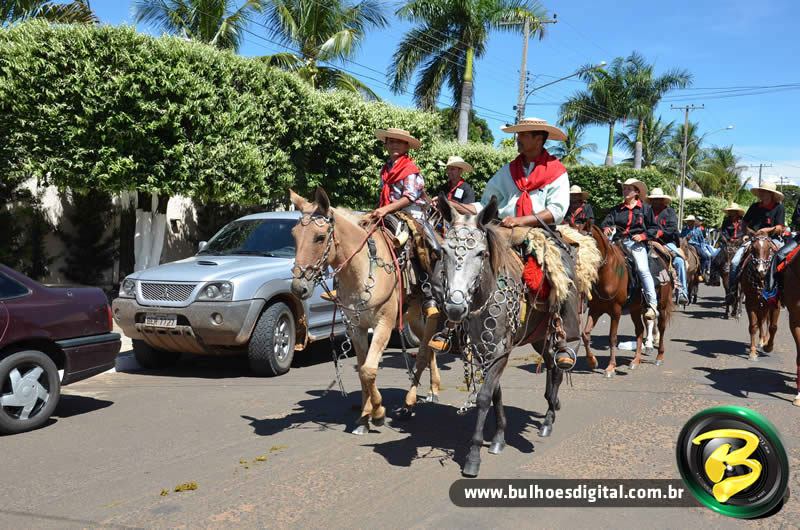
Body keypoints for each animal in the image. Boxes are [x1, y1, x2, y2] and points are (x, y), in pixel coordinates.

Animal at [289, 188, 441, 434]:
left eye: (319, 237)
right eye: (293, 235)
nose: (298, 287)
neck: (360, 270)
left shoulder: (384, 325)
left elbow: (369, 369)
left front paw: (378, 413)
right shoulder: (355, 327)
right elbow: (362, 369)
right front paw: (364, 417)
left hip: (434, 312)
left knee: (424, 352)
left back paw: (409, 403)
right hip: (414, 317)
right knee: (428, 348)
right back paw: (432, 389)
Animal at [436, 197, 574, 477]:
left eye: (481, 253)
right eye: (444, 251)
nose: (455, 308)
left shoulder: (501, 350)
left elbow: (484, 397)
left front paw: (473, 456)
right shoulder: (484, 349)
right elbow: (496, 394)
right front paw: (499, 438)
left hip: (554, 330)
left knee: (557, 365)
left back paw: (548, 420)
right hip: (538, 336)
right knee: (550, 364)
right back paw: (552, 405)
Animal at [582, 225, 674, 376]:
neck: (609, 272)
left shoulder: (616, 311)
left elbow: (612, 338)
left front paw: (611, 367)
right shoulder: (595, 309)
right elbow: (585, 334)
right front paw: (592, 361)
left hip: (662, 305)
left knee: (661, 327)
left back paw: (659, 356)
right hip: (635, 309)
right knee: (640, 330)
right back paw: (635, 361)